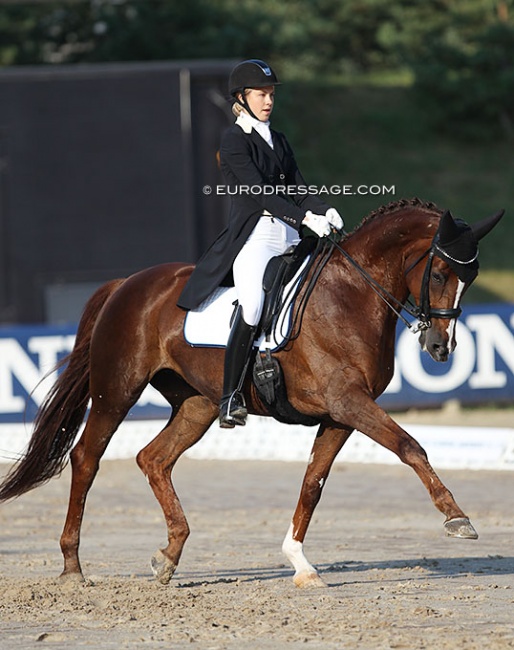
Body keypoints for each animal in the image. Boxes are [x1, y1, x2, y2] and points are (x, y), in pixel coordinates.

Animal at [0, 197, 502, 588]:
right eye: (438, 274)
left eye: (472, 276)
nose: (440, 347)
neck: (352, 294)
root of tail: (127, 283)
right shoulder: (349, 402)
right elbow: (410, 446)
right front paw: (457, 518)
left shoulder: (341, 414)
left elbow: (313, 482)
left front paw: (300, 562)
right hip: (116, 390)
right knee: (87, 458)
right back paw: (72, 567)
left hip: (197, 405)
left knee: (154, 459)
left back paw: (168, 557)